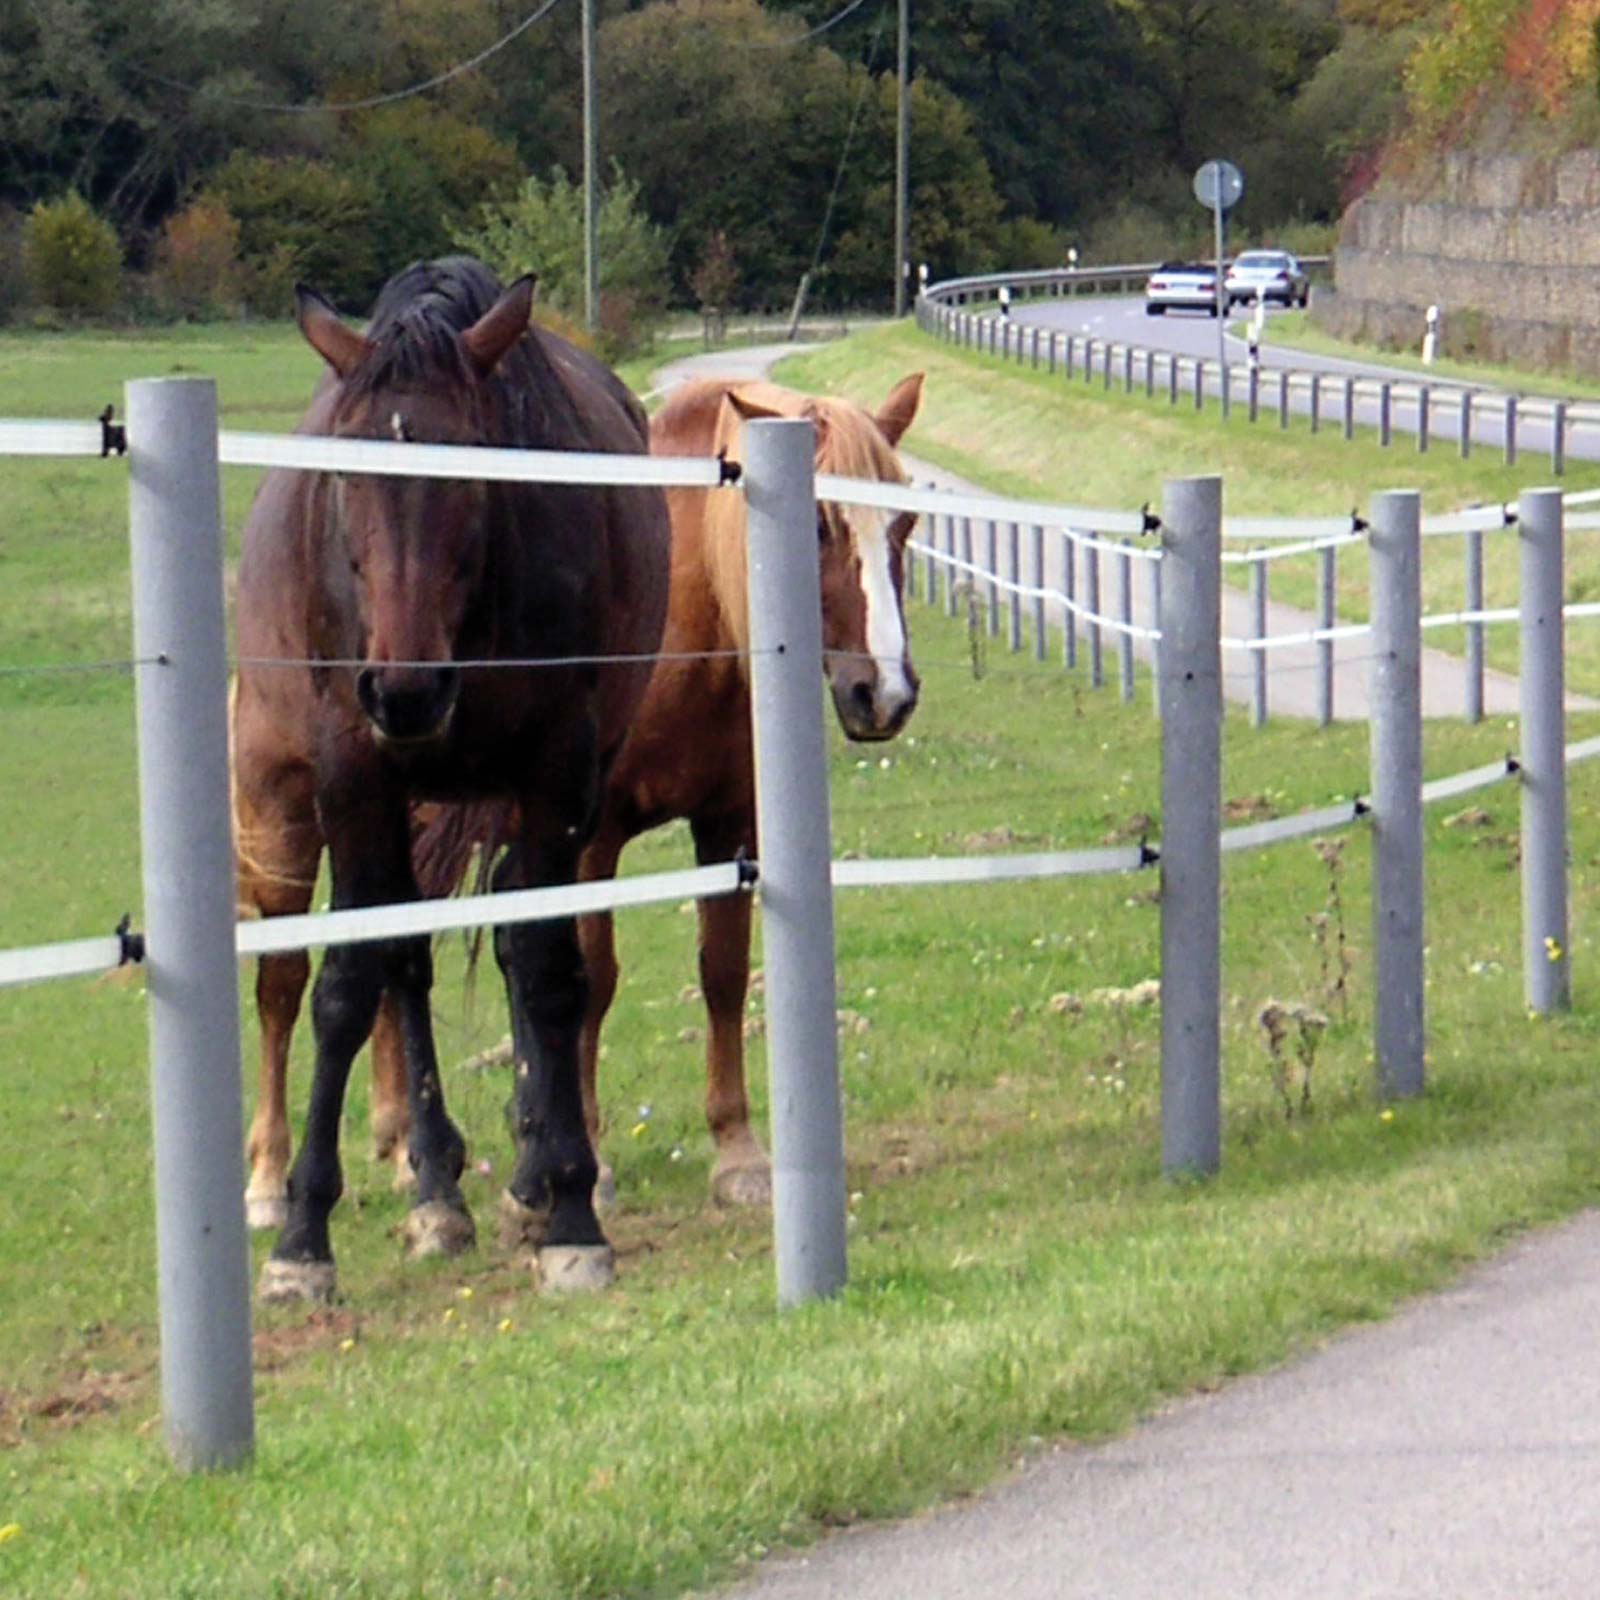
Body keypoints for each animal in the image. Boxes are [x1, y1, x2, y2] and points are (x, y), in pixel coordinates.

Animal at [232, 252, 668, 1299]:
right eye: (343, 475)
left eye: (470, 468)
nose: (405, 689)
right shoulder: (355, 779)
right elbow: (350, 983)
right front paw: (303, 1237)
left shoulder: (556, 778)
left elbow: (548, 969)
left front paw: (572, 1210)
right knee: (385, 959)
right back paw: (428, 1187)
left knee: (507, 933)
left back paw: (524, 1176)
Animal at [347, 371, 928, 1203]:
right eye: (816, 525)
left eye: (905, 520)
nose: (883, 694)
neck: (688, 618)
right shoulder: (592, 838)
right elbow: (591, 980)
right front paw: (588, 1160)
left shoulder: (730, 824)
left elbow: (722, 971)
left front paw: (738, 1152)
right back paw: (404, 1141)